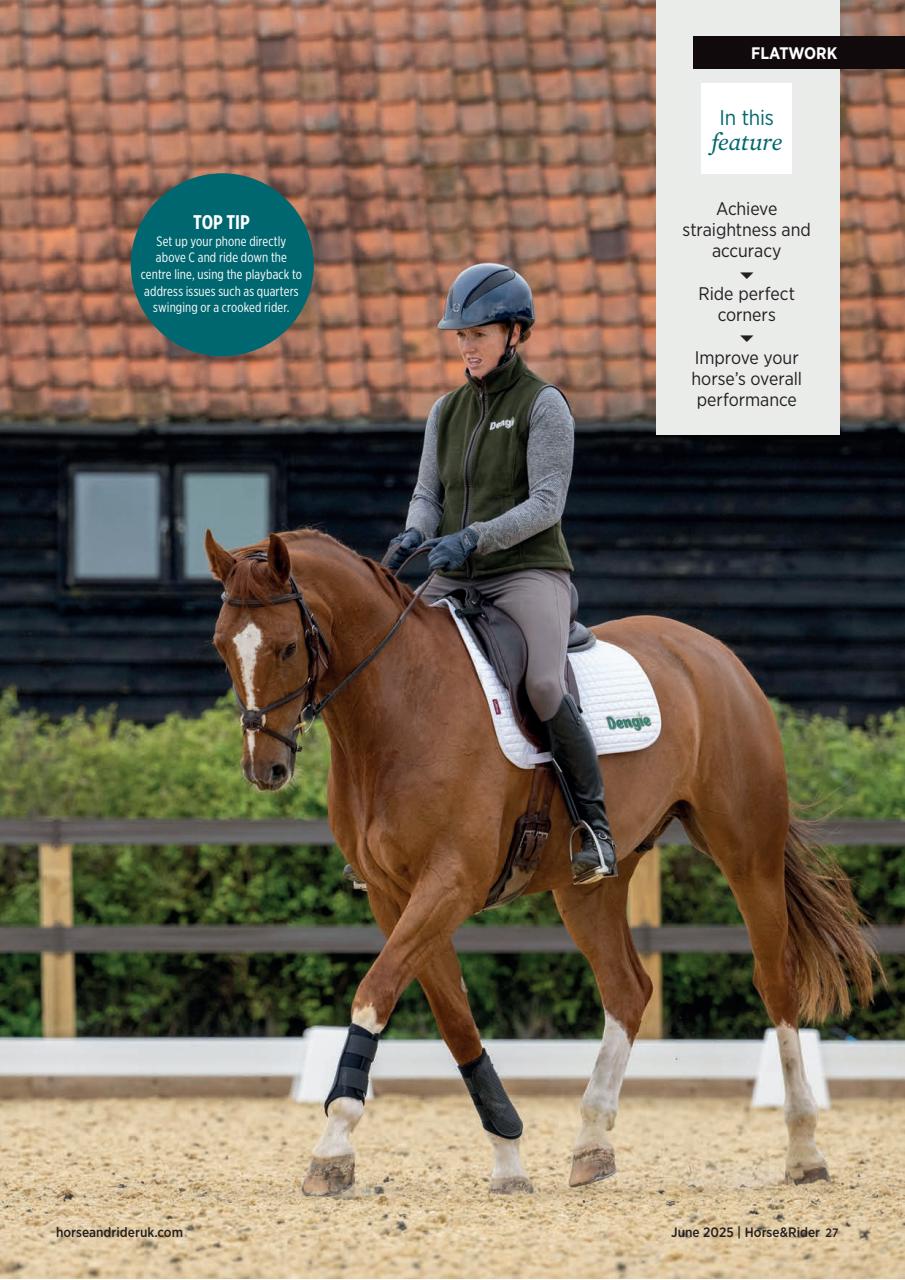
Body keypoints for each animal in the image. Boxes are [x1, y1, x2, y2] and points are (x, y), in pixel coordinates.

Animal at [204, 526, 880, 1196]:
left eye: (288, 647)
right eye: (221, 647)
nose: (266, 768)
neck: (401, 705)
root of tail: (712, 653)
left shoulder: (449, 883)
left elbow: (375, 992)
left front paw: (333, 1145)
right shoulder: (394, 896)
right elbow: (452, 1017)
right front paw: (507, 1155)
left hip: (747, 854)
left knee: (775, 980)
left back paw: (804, 1150)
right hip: (590, 886)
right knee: (628, 989)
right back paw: (592, 1144)